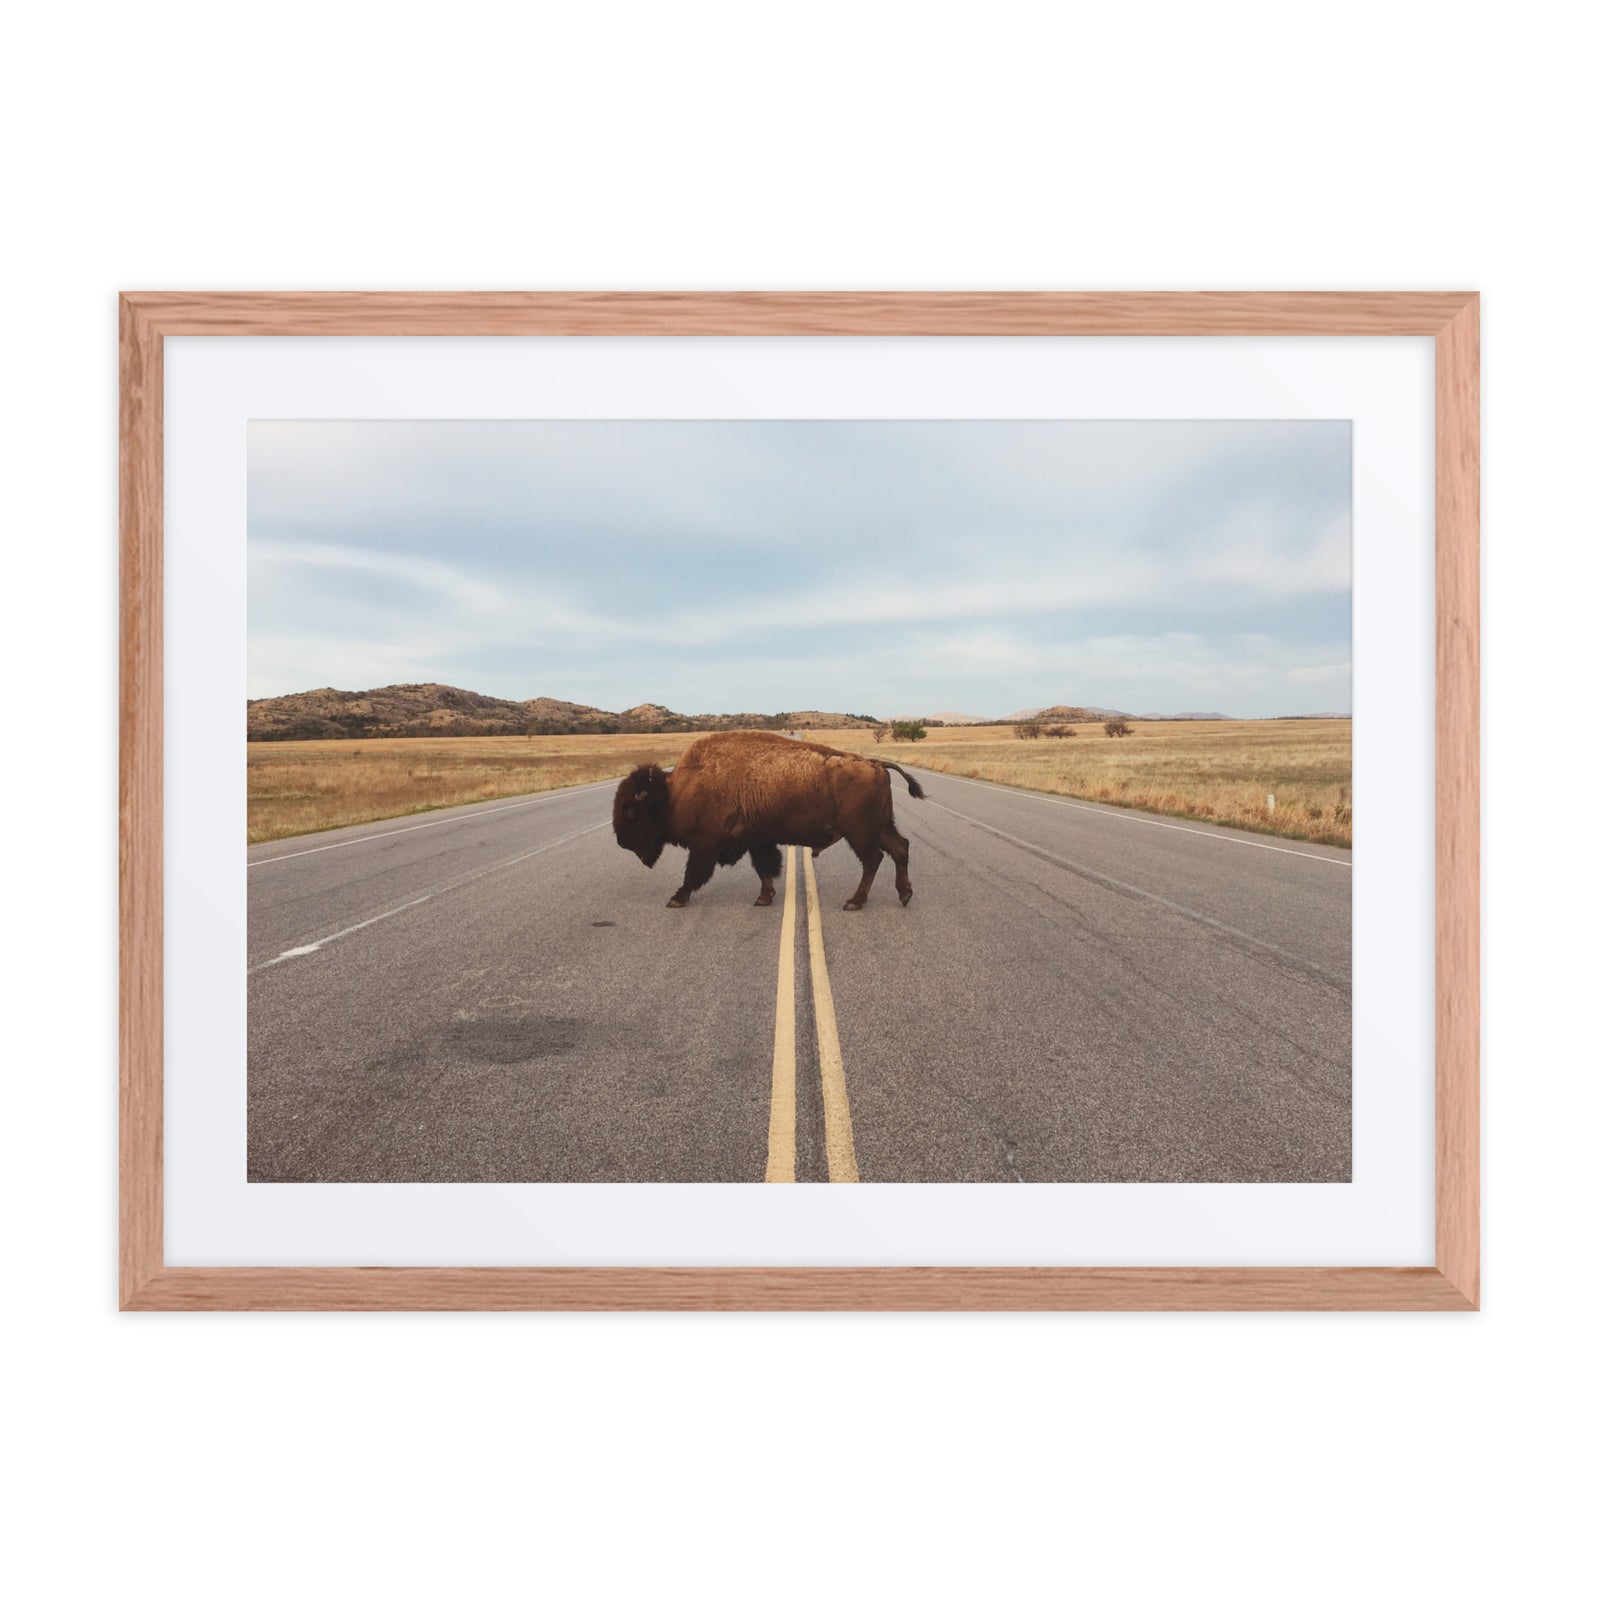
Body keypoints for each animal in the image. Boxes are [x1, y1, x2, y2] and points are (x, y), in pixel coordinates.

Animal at [612, 730, 925, 910]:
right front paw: (764, 898)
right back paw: (904, 894)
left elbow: (693, 873)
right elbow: (763, 869)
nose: (621, 842)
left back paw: (854, 902)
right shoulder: (756, 840)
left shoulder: (705, 845)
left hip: (859, 832)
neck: (677, 791)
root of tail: (876, 764)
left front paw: (676, 899)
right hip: (880, 826)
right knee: (900, 848)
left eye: (630, 811)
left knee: (873, 859)